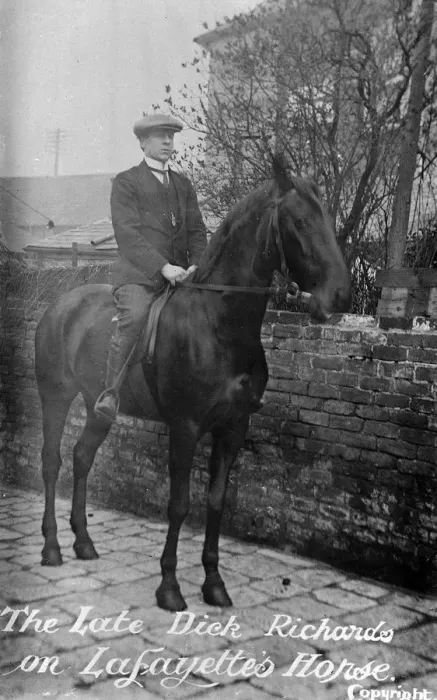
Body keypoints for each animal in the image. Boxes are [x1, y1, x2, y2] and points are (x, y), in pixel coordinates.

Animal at [34, 161, 350, 612]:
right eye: (301, 221)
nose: (340, 296)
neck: (218, 321)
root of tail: (61, 303)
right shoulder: (184, 428)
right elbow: (180, 505)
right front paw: (169, 586)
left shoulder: (232, 429)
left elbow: (215, 502)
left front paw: (214, 584)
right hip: (55, 397)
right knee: (52, 462)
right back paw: (52, 548)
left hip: (99, 407)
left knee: (81, 457)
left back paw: (84, 543)